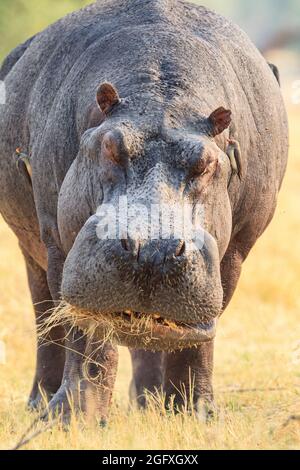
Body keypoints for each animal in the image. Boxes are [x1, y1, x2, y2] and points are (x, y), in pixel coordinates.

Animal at [0, 0, 288, 422]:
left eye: (207, 162)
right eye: (109, 145)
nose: (151, 249)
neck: (162, 98)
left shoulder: (236, 250)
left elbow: (197, 339)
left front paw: (197, 414)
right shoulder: (59, 243)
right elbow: (86, 335)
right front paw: (74, 418)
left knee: (150, 334)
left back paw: (150, 404)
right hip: (34, 251)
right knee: (46, 321)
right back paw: (42, 405)